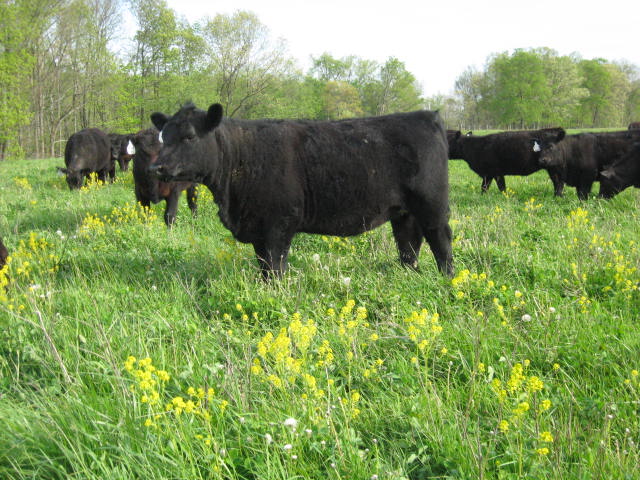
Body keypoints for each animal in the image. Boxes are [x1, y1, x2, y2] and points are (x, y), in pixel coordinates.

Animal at [148, 103, 452, 280]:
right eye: (163, 135)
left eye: (189, 136)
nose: (157, 167)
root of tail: (428, 116)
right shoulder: (258, 227)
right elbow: (264, 265)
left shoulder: (279, 224)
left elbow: (275, 266)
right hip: (404, 211)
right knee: (409, 244)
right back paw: (409, 276)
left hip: (433, 205)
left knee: (441, 241)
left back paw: (447, 280)